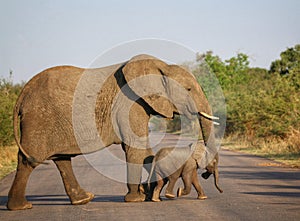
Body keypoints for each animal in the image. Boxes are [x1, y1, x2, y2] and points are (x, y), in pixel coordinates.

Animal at [7, 54, 218, 210]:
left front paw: (148, 193)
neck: (161, 67)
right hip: (39, 119)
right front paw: (136, 199)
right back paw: (21, 207)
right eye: (188, 89)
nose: (206, 174)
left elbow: (145, 151)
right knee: (29, 158)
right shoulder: (129, 103)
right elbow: (135, 146)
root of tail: (23, 93)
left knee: (61, 159)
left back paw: (83, 199)